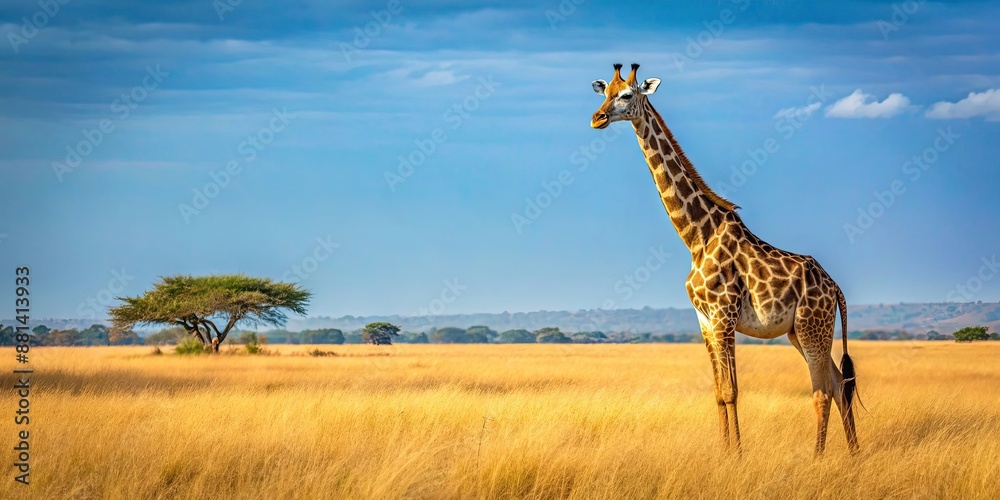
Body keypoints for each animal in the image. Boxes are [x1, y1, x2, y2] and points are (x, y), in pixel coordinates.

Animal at [590, 64, 859, 456]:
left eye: (626, 95)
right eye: (603, 93)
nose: (597, 118)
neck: (696, 236)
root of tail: (836, 288)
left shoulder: (724, 316)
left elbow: (732, 391)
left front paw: (738, 456)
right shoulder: (704, 320)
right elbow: (718, 392)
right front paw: (723, 452)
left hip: (813, 328)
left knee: (822, 392)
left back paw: (818, 458)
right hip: (799, 332)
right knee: (840, 386)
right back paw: (854, 455)